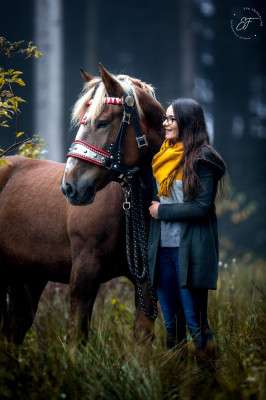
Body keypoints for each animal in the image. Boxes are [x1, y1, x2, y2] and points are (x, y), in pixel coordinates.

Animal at [0, 63, 164, 344]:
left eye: (103, 122)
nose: (70, 187)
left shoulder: (146, 283)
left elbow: (142, 338)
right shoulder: (84, 273)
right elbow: (76, 336)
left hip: (26, 280)